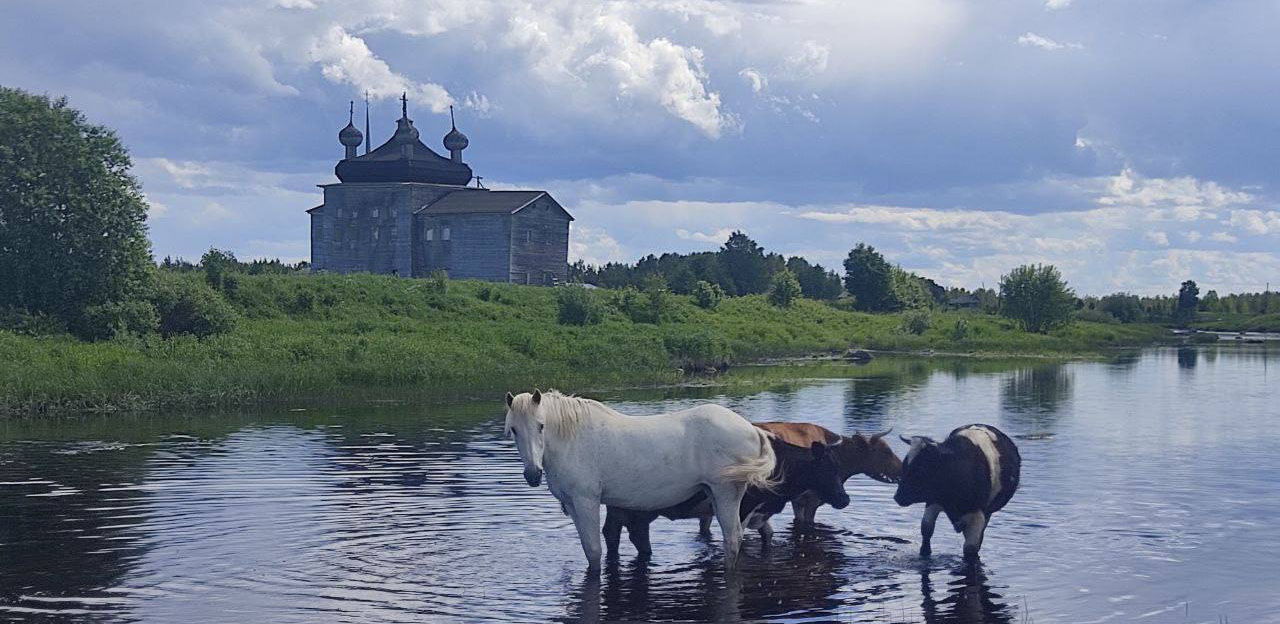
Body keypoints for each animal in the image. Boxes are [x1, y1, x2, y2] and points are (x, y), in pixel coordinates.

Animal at [504, 388, 773, 570]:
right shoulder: (572, 504)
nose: (532, 474)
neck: (573, 439)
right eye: (514, 429)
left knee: (732, 539)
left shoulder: (586, 501)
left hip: (726, 492)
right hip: (714, 494)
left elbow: (594, 551)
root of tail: (751, 428)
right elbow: (589, 550)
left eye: (541, 426)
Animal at [890, 424, 1018, 560]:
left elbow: (970, 548)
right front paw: (925, 552)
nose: (898, 497)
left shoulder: (977, 514)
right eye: (904, 464)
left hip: (987, 513)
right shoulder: (933, 501)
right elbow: (926, 529)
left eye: (921, 468)